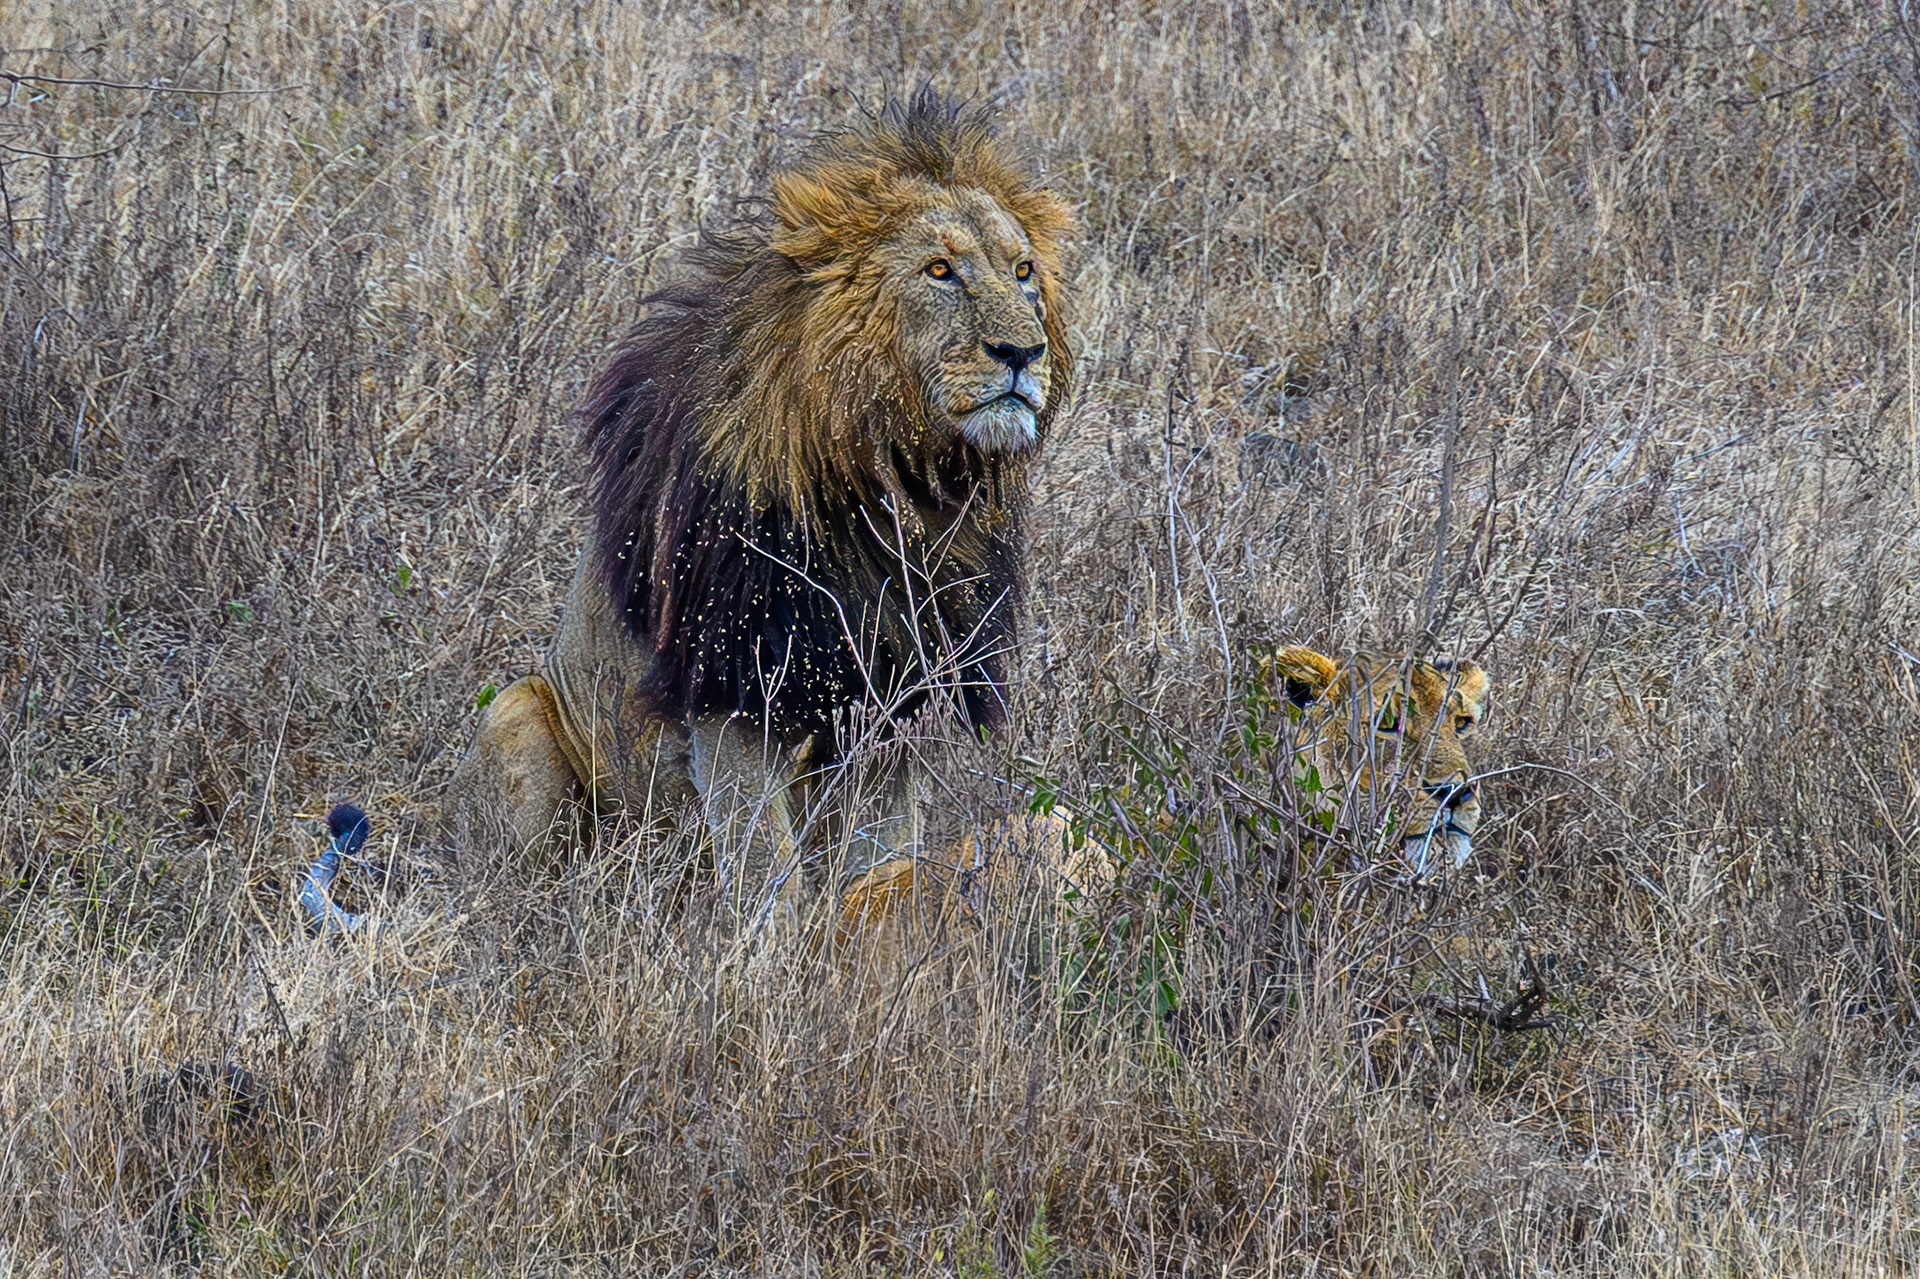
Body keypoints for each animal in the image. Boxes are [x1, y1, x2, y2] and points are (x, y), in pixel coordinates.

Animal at [428, 91, 1076, 949]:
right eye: (940, 270)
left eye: (1023, 270)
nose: (1023, 353)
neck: (895, 488)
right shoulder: (730, 687)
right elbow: (767, 863)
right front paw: (766, 962)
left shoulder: (894, 698)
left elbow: (877, 853)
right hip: (520, 712)